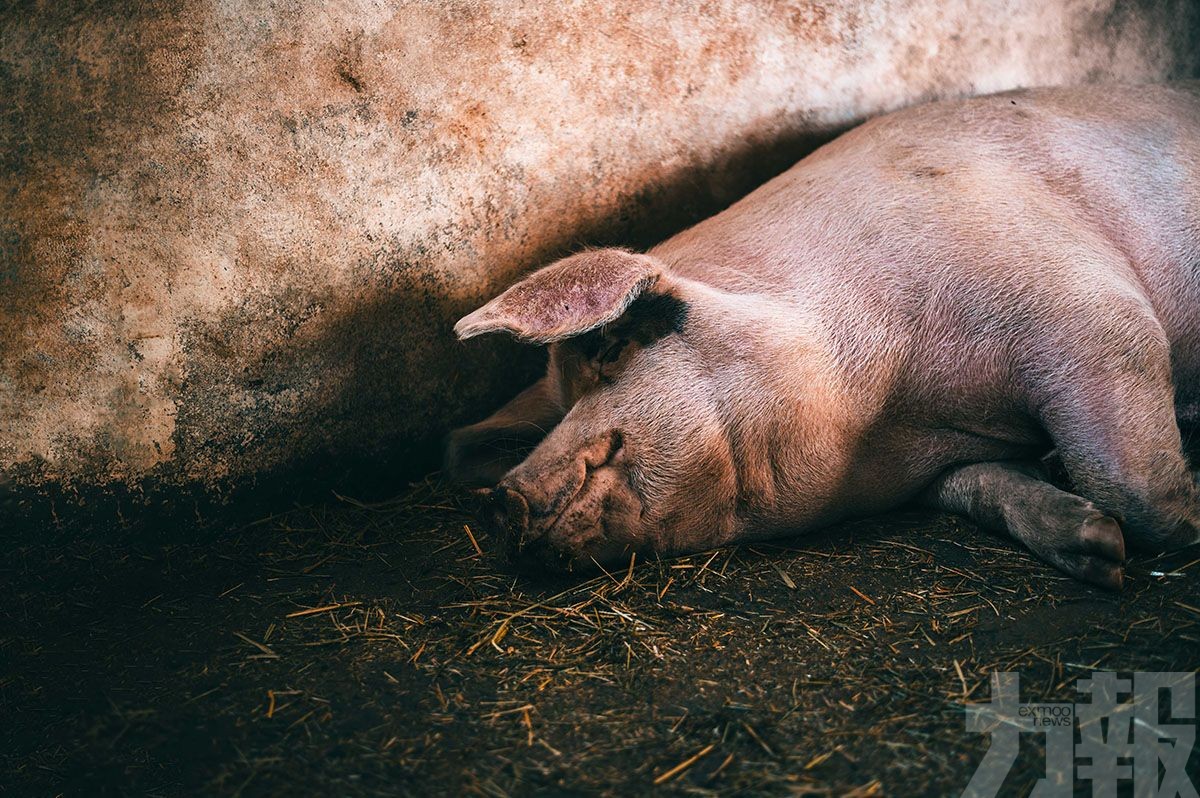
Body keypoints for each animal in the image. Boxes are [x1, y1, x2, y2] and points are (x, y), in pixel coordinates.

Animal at [448, 82, 1200, 590]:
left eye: (608, 349)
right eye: (560, 398)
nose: (501, 500)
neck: (895, 411)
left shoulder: (1087, 310)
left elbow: (1131, 484)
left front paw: (1184, 525)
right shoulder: (938, 462)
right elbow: (985, 486)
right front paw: (1100, 548)